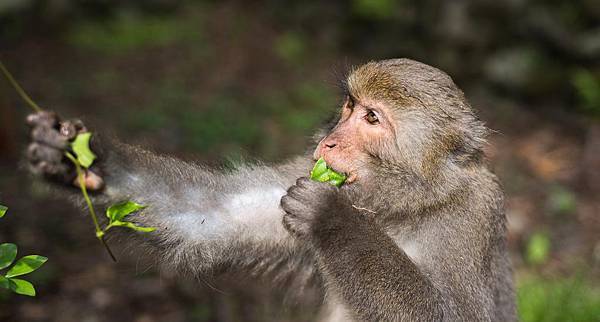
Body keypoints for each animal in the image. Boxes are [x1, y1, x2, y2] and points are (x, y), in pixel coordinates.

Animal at [24, 58, 516, 322]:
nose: (329, 141)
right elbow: (214, 213)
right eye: (349, 106)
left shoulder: (473, 216)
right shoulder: (301, 172)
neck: (403, 206)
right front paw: (79, 156)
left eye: (372, 118)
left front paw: (333, 220)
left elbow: (454, 315)